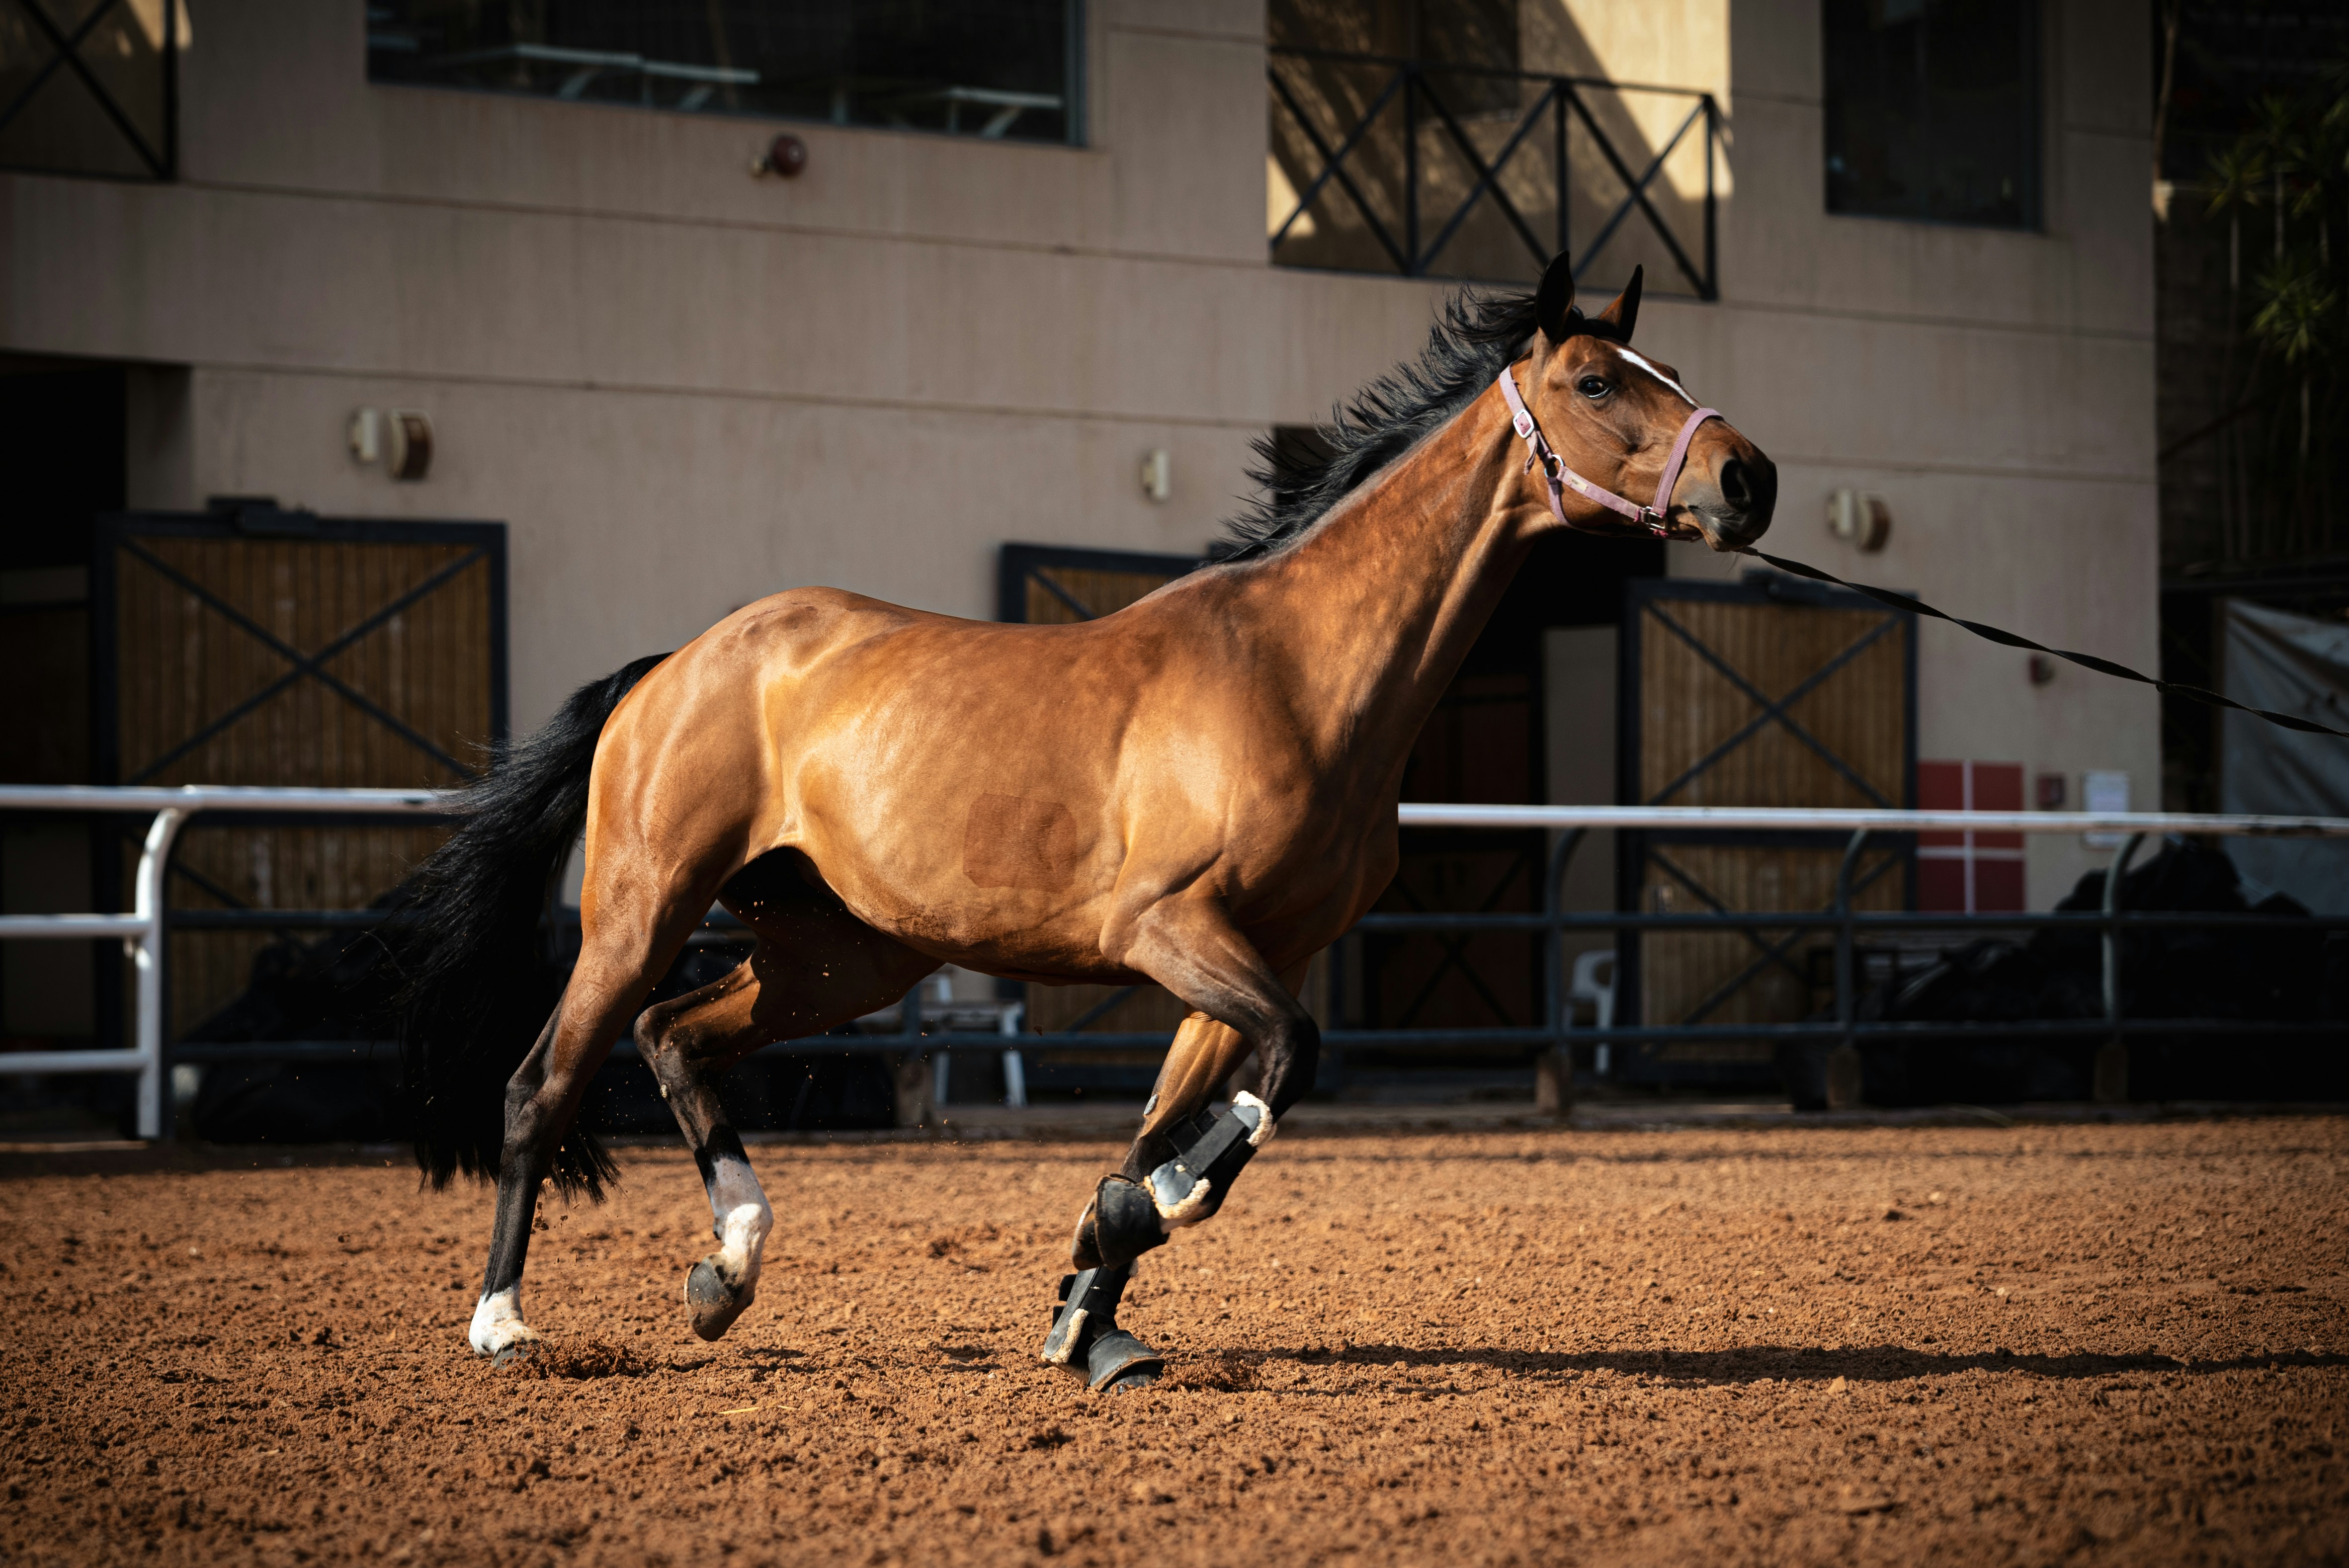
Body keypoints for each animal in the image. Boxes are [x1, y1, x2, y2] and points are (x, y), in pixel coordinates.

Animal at [391, 249, 1777, 1390]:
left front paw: (1093, 1302)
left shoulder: (1252, 955)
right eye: (1598, 380)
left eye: (1668, 372)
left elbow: (1181, 1112)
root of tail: (673, 664)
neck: (1298, 669)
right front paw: (1143, 1217)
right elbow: (1283, 1065)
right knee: (541, 1082)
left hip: (838, 955)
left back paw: (726, 1269)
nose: (1747, 477)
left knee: (673, 1037)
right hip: (641, 908)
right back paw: (504, 1324)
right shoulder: (1169, 930)